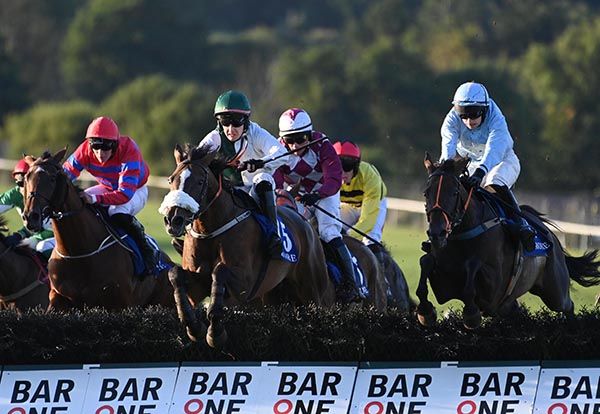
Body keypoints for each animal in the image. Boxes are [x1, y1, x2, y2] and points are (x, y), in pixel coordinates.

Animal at [19, 150, 173, 310]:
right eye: (26, 179)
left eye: (52, 178)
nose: (31, 216)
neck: (78, 252)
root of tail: (169, 262)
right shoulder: (59, 296)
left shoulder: (119, 303)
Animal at [162, 144, 336, 348]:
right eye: (171, 179)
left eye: (199, 182)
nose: (173, 220)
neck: (211, 231)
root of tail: (306, 224)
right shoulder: (196, 283)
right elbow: (175, 274)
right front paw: (194, 327)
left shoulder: (246, 283)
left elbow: (219, 271)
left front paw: (215, 332)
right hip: (274, 296)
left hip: (312, 291)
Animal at [414, 154, 600, 328]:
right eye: (426, 193)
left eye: (454, 192)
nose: (437, 233)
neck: (463, 234)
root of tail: (550, 235)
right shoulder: (444, 282)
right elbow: (425, 262)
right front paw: (425, 311)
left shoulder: (493, 291)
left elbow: (473, 270)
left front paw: (470, 314)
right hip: (509, 305)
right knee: (516, 309)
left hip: (555, 291)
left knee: (568, 305)